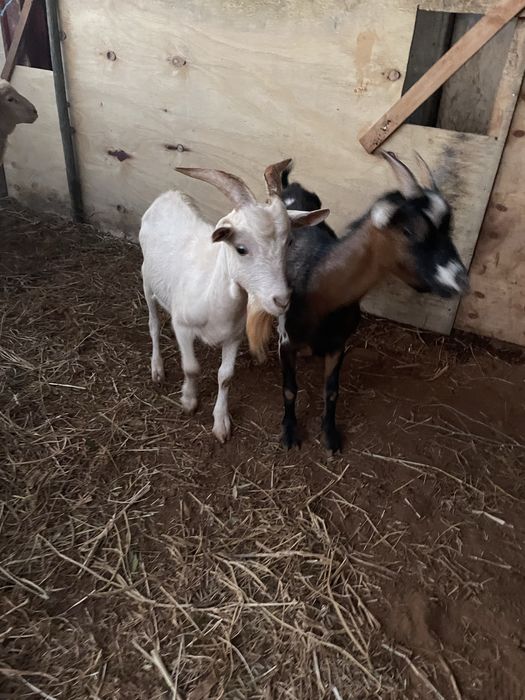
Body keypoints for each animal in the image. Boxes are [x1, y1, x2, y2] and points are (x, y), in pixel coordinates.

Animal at [139, 161, 330, 443]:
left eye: (289, 242)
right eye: (241, 248)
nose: (281, 299)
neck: (212, 298)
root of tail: (169, 194)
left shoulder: (234, 337)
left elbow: (225, 377)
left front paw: (221, 423)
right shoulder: (182, 326)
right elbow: (191, 367)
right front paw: (189, 401)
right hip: (147, 280)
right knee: (153, 324)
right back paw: (157, 369)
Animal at [247, 152, 470, 453]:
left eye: (449, 228)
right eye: (409, 231)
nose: (460, 280)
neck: (319, 287)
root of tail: (289, 186)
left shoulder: (338, 344)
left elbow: (332, 391)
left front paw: (330, 436)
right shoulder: (287, 341)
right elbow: (290, 389)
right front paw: (290, 432)